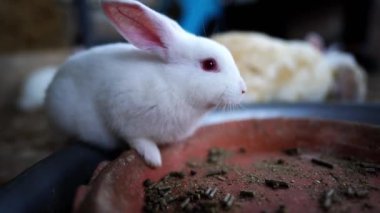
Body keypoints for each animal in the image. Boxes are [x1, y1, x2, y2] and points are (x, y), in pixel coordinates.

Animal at [44, 0, 246, 166]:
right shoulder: (122, 117)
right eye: (209, 64)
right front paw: (154, 159)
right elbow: (139, 140)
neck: (174, 84)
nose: (243, 90)